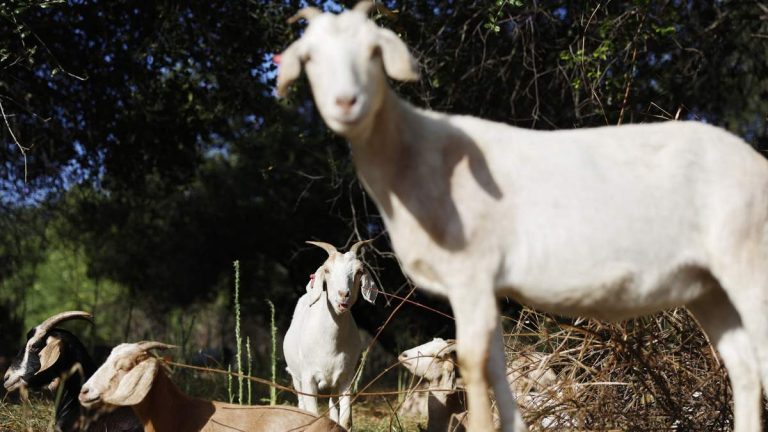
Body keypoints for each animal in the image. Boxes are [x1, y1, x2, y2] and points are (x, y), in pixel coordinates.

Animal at [283, 240, 378, 430]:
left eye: (359, 271)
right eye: (327, 270)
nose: (343, 295)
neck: (330, 344)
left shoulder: (346, 378)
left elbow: (345, 419)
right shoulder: (308, 378)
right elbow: (312, 414)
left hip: (332, 385)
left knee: (332, 406)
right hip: (296, 377)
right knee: (301, 403)